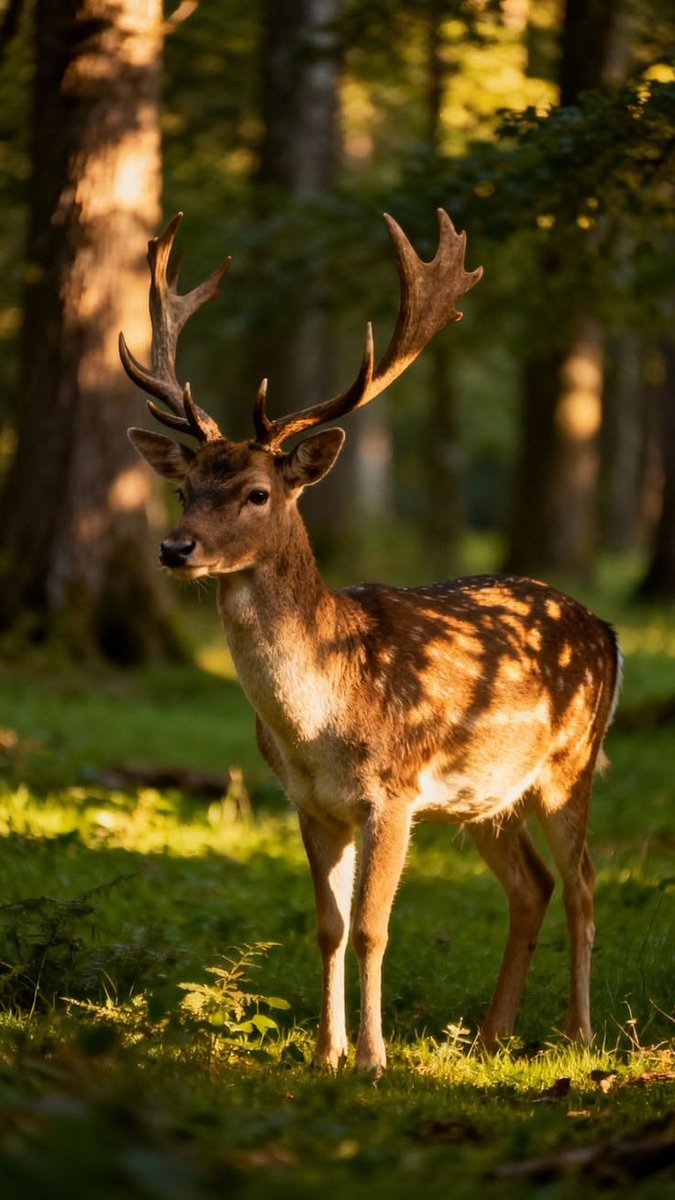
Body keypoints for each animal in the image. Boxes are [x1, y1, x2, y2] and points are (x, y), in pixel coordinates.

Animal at [120, 210, 622, 1073]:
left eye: (257, 492)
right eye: (184, 488)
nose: (173, 548)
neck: (321, 717)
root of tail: (606, 629)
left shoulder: (395, 789)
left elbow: (373, 928)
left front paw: (373, 1059)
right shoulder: (311, 803)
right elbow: (326, 928)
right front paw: (325, 1056)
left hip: (570, 761)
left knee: (586, 880)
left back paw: (577, 1035)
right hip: (488, 795)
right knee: (532, 885)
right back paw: (490, 1037)